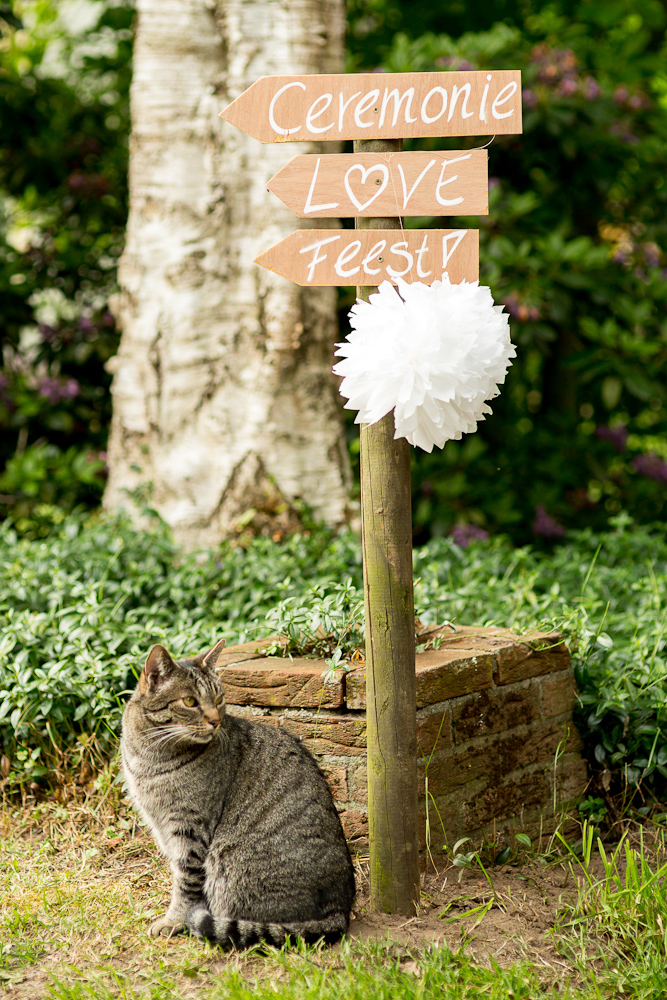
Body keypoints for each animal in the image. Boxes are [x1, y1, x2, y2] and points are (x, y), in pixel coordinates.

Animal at [122, 636, 358, 948]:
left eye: (219, 699)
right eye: (190, 701)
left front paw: (173, 921)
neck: (149, 754)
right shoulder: (160, 824)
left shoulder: (190, 827)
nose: (215, 721)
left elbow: (185, 883)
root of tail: (340, 910)